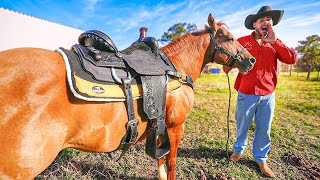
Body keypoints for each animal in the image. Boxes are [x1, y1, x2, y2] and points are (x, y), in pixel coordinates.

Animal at [0, 13, 255, 179]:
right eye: (228, 37)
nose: (251, 60)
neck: (175, 68)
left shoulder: (160, 126)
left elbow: (160, 161)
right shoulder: (175, 127)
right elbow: (171, 162)